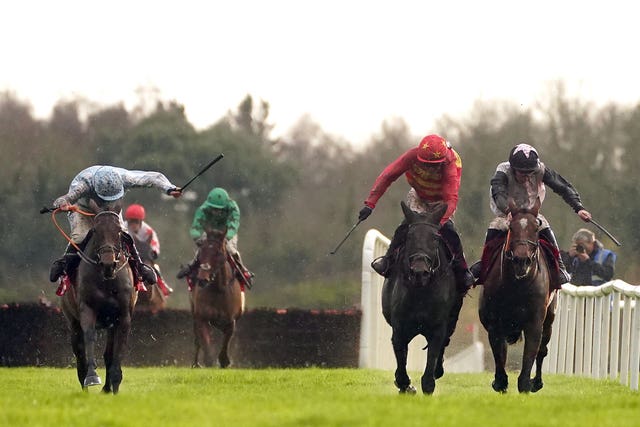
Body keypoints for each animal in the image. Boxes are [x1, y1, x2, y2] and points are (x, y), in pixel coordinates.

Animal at [59, 207, 136, 394]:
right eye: (95, 231)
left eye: (119, 231)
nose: (108, 264)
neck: (107, 281)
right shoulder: (87, 309)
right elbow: (89, 336)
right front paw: (92, 377)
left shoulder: (123, 317)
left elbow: (117, 351)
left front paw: (114, 384)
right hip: (72, 322)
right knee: (79, 353)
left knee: (108, 353)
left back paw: (107, 388)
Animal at [189, 231, 244, 368]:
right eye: (201, 251)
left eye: (218, 253)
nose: (203, 279)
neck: (218, 290)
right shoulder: (201, 317)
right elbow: (205, 342)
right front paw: (209, 361)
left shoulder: (231, 320)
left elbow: (227, 340)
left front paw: (224, 361)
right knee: (197, 339)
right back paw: (196, 363)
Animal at [382, 202, 462, 396]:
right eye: (409, 236)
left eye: (435, 238)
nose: (420, 272)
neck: (420, 291)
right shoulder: (400, 326)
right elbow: (400, 359)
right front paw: (405, 385)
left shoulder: (438, 327)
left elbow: (432, 359)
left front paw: (429, 382)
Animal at [478, 201, 556, 394]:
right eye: (511, 228)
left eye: (536, 229)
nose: (522, 260)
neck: (516, 285)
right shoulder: (495, 323)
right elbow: (499, 354)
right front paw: (500, 382)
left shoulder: (534, 323)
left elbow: (530, 355)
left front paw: (526, 384)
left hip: (549, 319)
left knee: (543, 350)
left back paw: (537, 382)